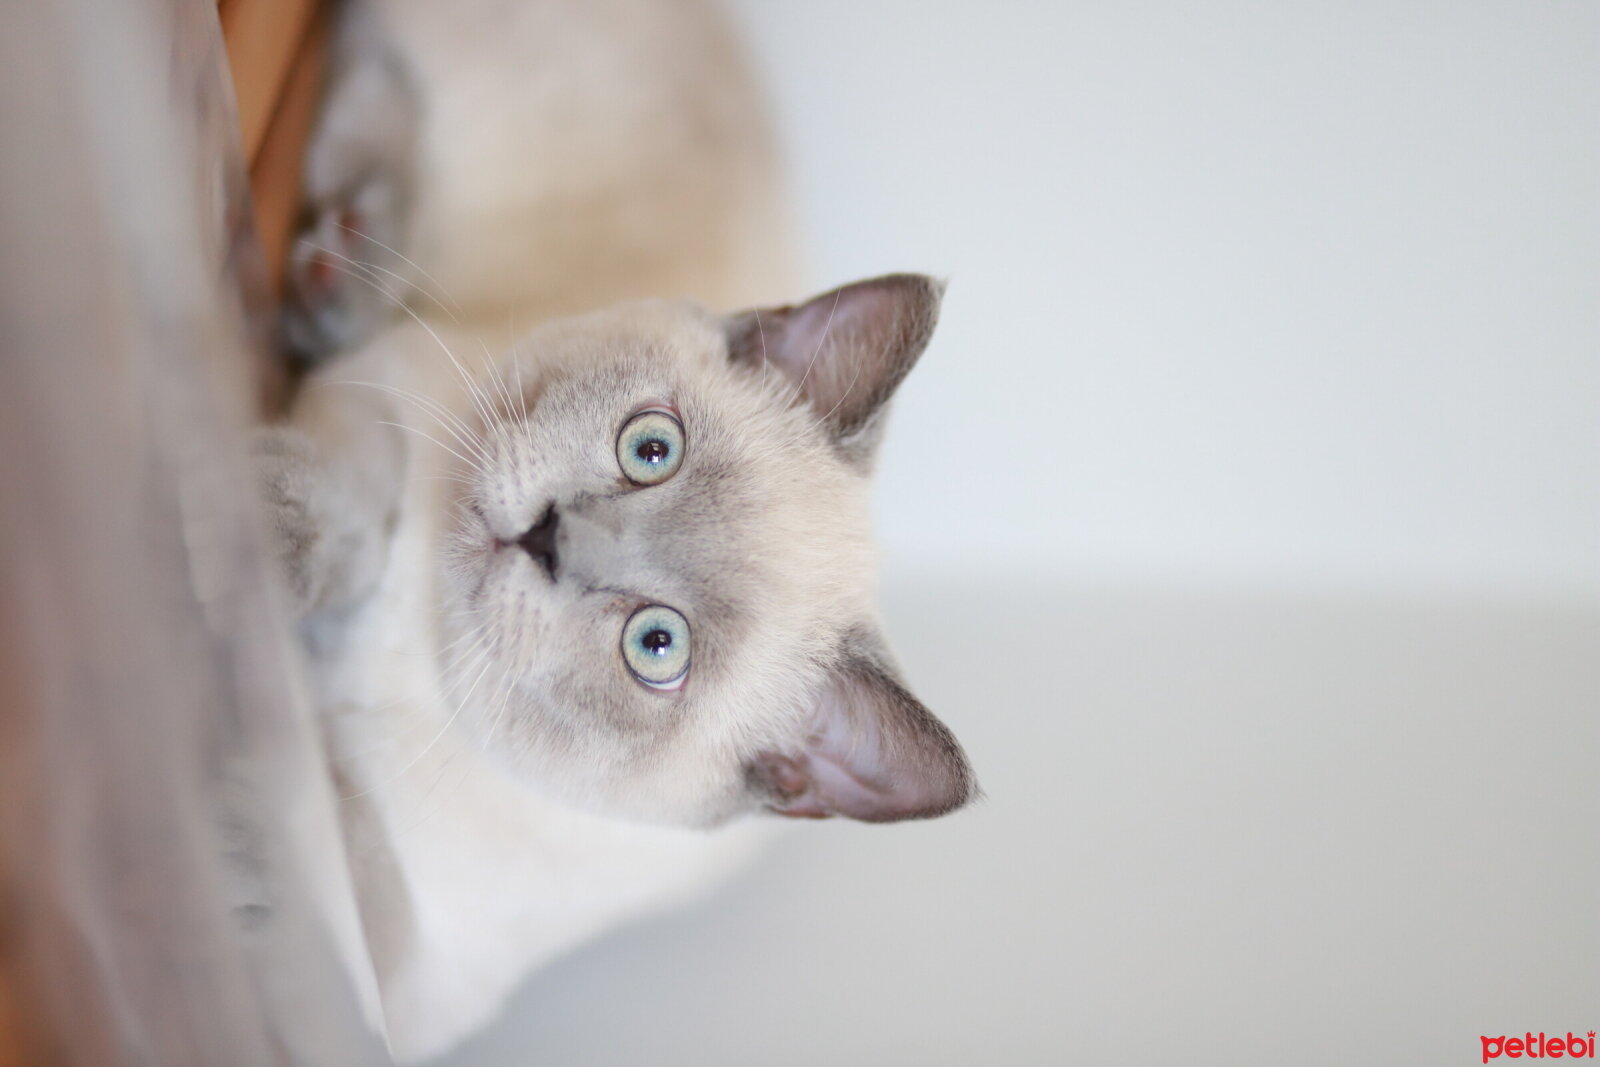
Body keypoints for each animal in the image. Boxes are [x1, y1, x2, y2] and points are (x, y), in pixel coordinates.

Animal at [262, 0, 972, 1062]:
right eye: (651, 448)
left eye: (656, 646)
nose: (548, 537)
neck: (415, 660)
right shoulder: (386, 400)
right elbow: (338, 513)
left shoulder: (402, 979)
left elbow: (319, 863)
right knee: (369, 61)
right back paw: (336, 263)